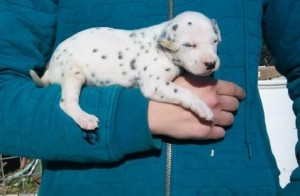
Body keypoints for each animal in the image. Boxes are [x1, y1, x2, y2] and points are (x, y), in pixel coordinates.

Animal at [29, 10, 220, 130]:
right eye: (188, 45)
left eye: (215, 41)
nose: (211, 64)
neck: (162, 46)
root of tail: (51, 67)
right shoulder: (155, 85)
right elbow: (185, 92)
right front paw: (203, 107)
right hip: (72, 72)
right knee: (67, 102)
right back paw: (85, 118)